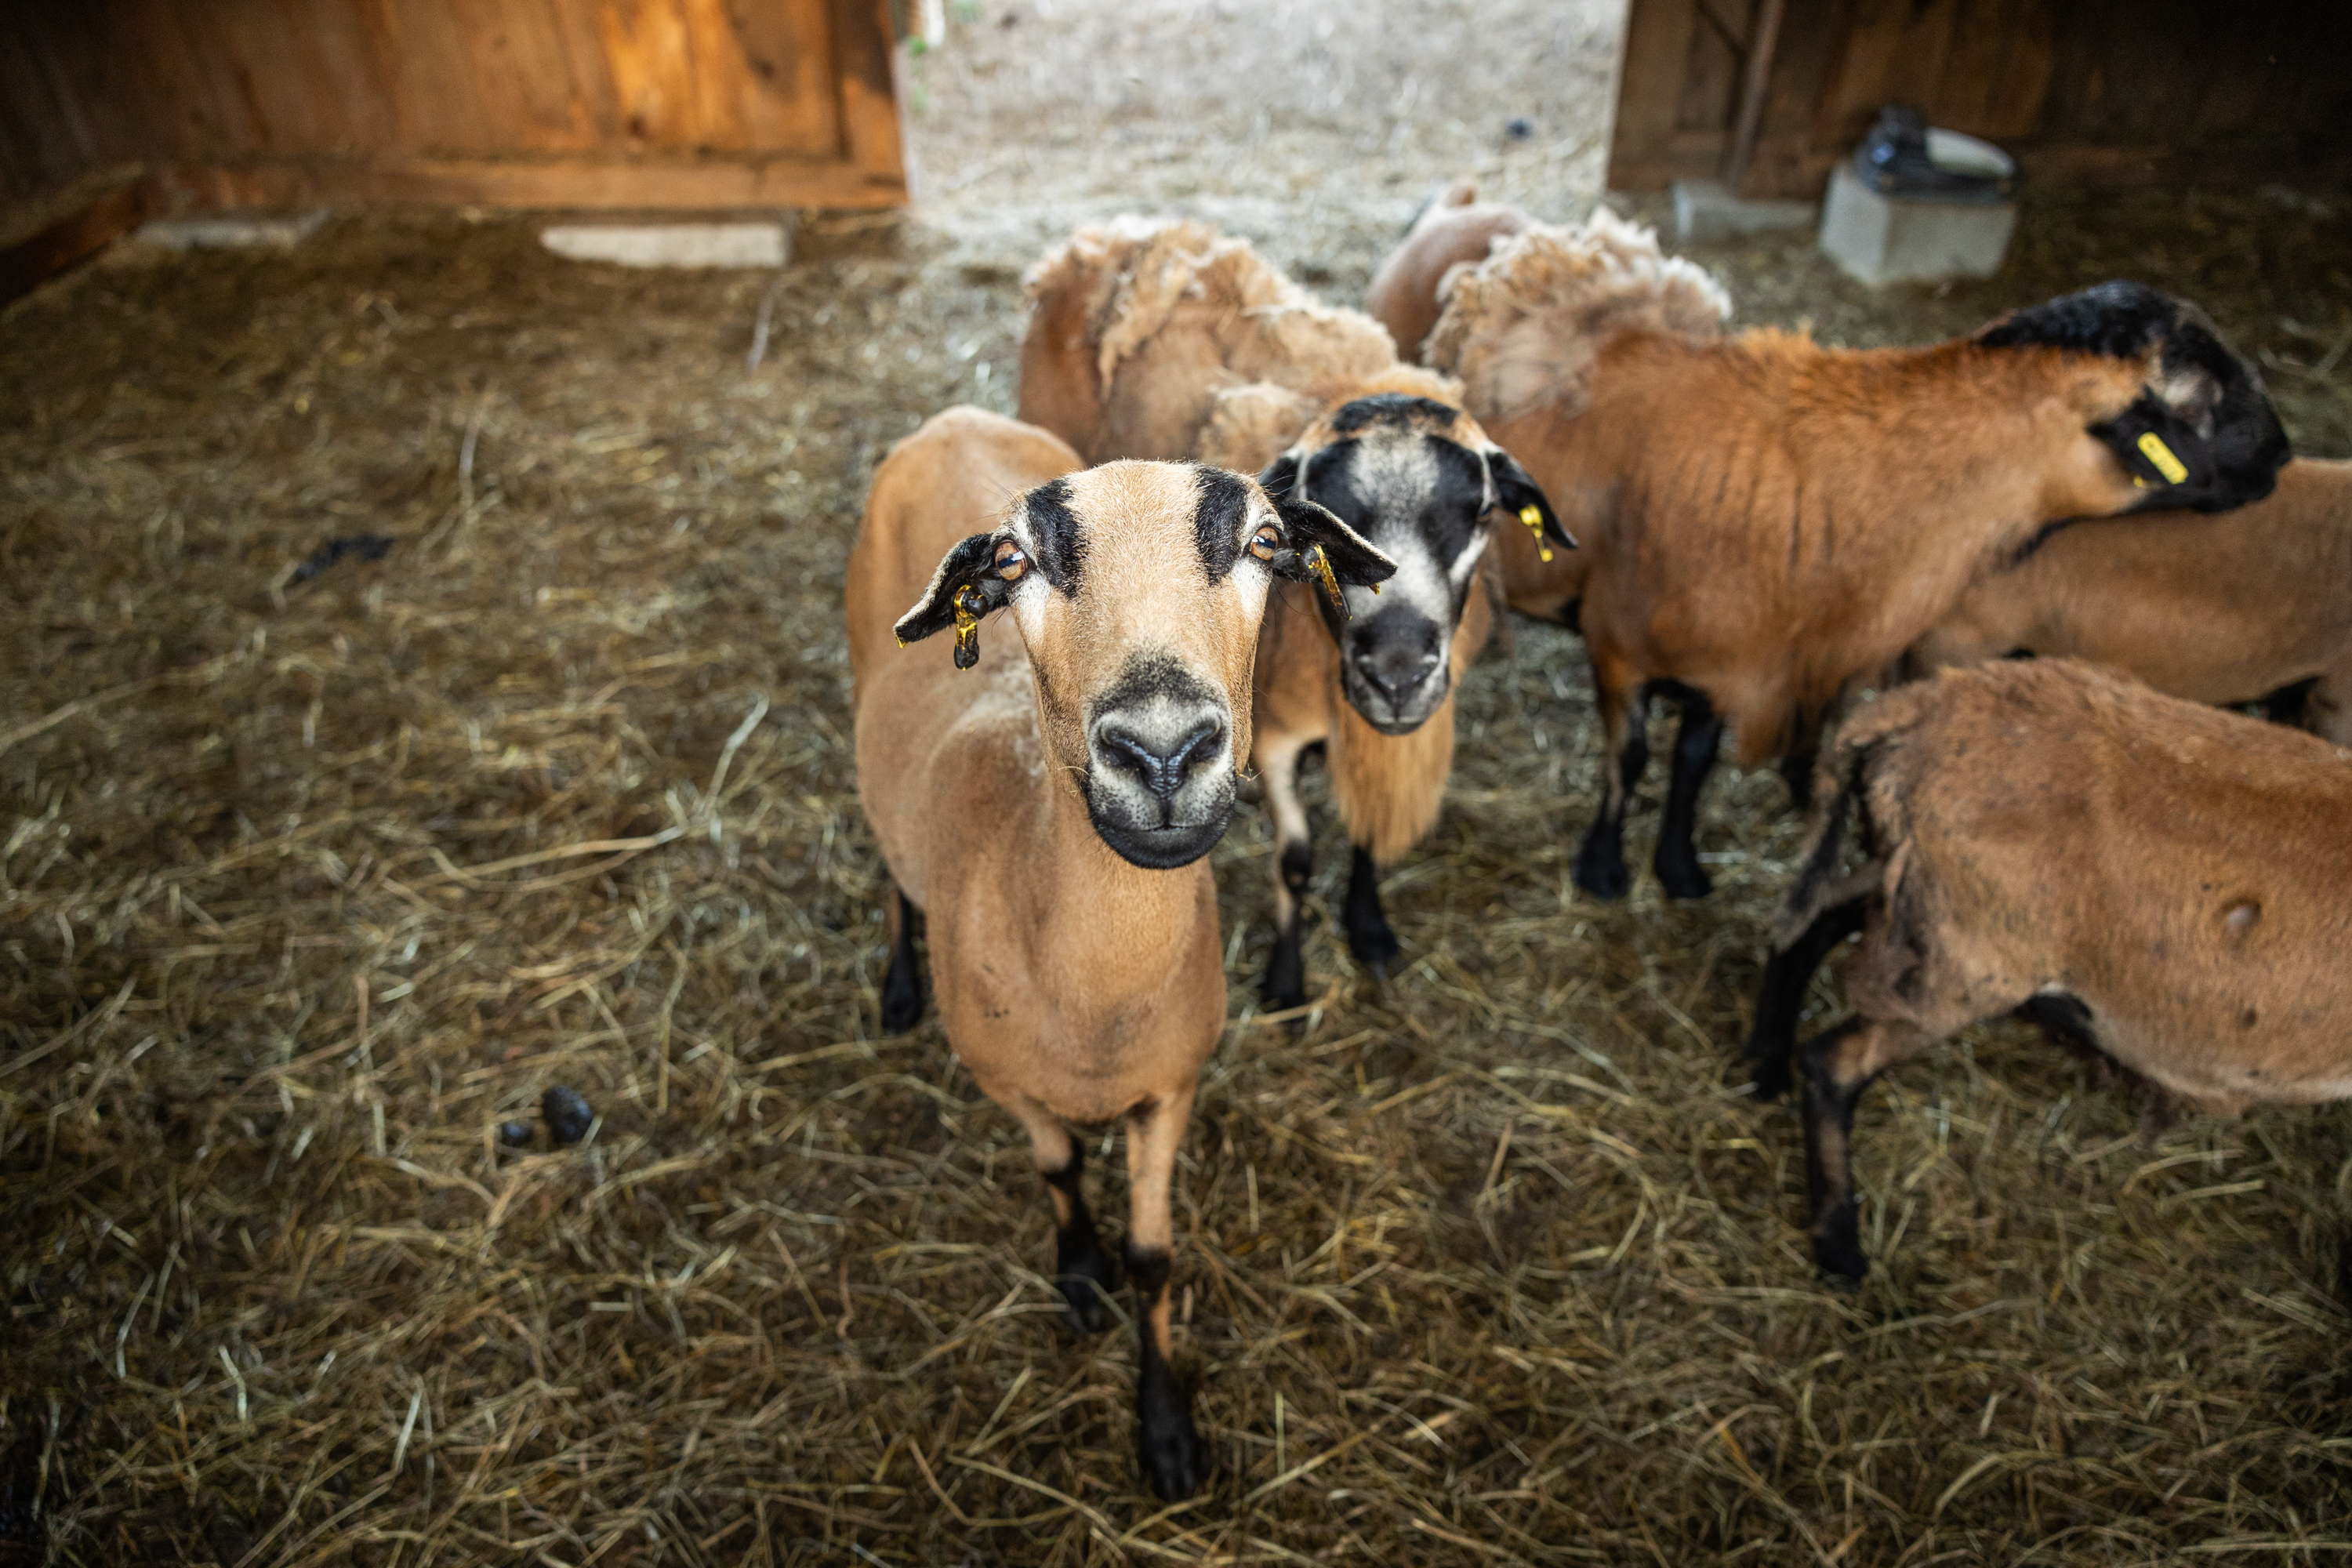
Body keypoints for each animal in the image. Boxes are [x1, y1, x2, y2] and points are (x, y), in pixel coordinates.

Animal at [848, 405, 1395, 1498]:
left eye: (1265, 541)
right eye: (1013, 561)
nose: (1165, 752)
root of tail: (955, 417)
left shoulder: (1172, 1085)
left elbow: (1156, 1257)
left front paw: (1168, 1431)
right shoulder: (1004, 1079)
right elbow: (1060, 1170)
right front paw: (1079, 1274)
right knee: (889, 856)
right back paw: (898, 986)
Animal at [1418, 220, 2290, 902]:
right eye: (2197, 400)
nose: (2282, 454)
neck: (1837, 483)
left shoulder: (1734, 659)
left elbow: (1693, 763)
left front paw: (1680, 867)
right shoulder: (1621, 649)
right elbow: (1627, 760)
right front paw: (1602, 870)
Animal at [1741, 657, 2352, 1284]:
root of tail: (1924, 704)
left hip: (1912, 889)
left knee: (1806, 923)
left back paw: (1763, 1066)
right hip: (1966, 963)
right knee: (1832, 1062)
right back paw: (1840, 1247)